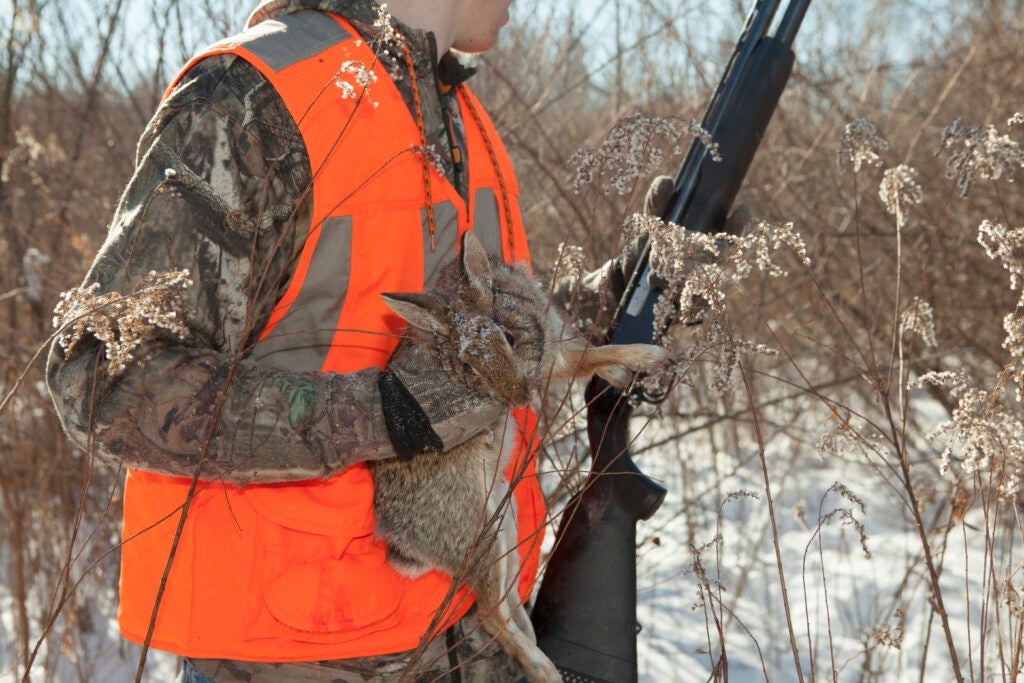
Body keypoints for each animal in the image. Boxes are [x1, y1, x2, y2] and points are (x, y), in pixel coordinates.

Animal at [371, 231, 666, 683]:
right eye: (468, 367)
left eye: (509, 337)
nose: (520, 398)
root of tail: (402, 540)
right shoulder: (553, 358)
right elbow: (591, 355)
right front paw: (649, 356)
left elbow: (586, 357)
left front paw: (621, 374)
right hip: (480, 534)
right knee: (489, 612)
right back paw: (544, 668)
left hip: (504, 522)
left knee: (506, 602)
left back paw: (537, 643)